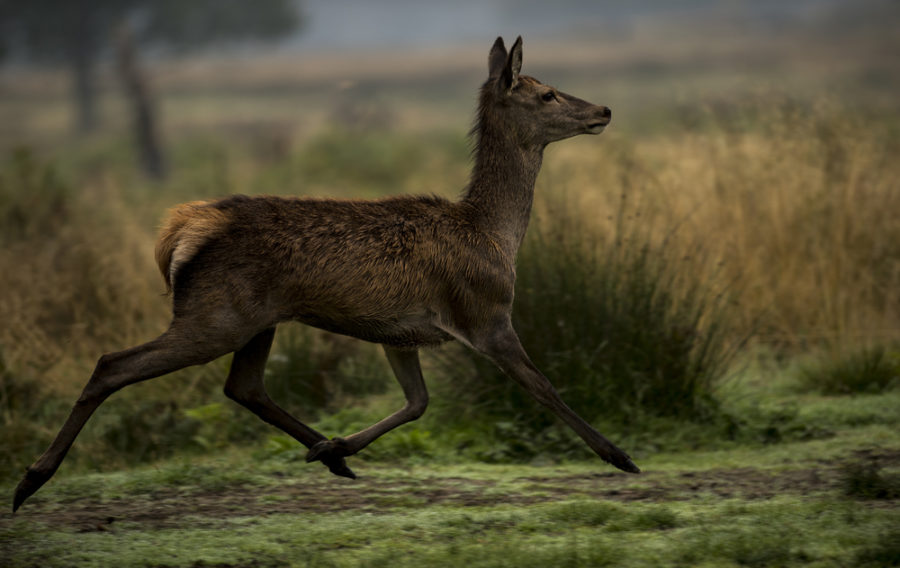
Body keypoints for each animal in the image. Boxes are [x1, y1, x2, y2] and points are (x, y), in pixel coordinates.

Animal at [12, 36, 640, 516]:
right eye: (546, 91)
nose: (605, 110)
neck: (495, 235)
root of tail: (181, 230)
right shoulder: (483, 313)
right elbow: (544, 387)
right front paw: (620, 455)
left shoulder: (401, 333)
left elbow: (418, 403)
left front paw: (340, 444)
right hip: (214, 316)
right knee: (112, 363)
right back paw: (30, 480)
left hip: (255, 320)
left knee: (243, 386)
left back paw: (328, 454)